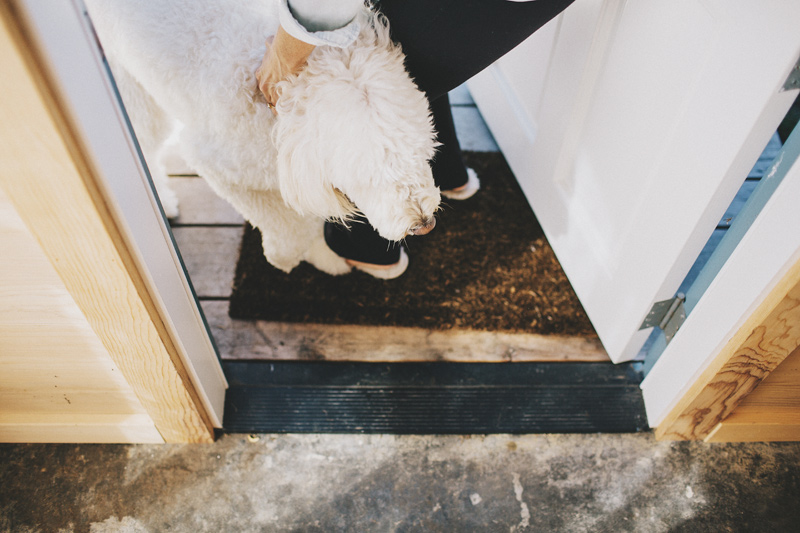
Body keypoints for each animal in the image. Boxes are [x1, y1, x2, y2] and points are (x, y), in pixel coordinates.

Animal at [86, 0, 444, 276]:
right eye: (368, 178)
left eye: (425, 154)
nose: (424, 224)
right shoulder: (219, 168)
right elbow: (290, 229)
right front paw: (294, 258)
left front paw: (323, 257)